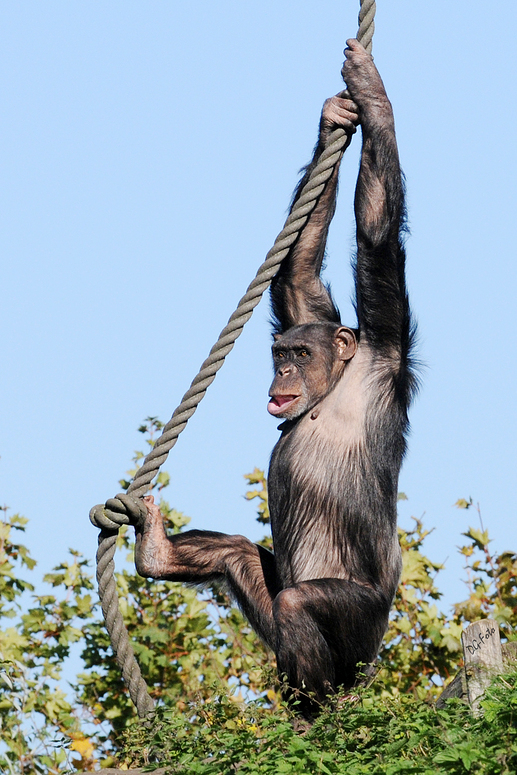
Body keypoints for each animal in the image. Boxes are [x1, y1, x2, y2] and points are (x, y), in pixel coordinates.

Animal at [133, 39, 416, 720]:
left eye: (299, 356)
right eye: (280, 352)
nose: (282, 372)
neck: (336, 386)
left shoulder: (384, 348)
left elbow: (375, 234)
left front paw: (371, 91)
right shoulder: (307, 306)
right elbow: (298, 272)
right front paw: (335, 116)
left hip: (360, 633)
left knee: (298, 603)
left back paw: (315, 718)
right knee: (241, 557)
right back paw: (159, 551)